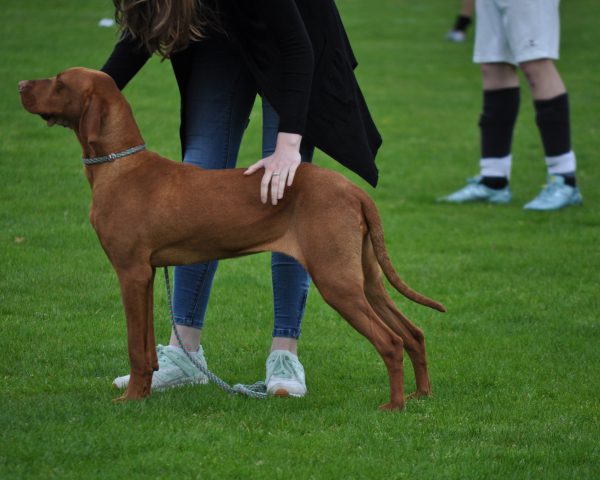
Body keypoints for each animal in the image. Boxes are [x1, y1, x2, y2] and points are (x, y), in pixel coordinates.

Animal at [18, 67, 446, 410]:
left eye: (59, 83)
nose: (20, 84)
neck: (121, 166)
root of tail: (354, 189)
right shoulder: (148, 274)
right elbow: (147, 345)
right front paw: (149, 388)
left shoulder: (131, 272)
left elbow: (135, 348)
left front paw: (132, 399)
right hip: (365, 278)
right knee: (414, 332)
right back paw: (421, 395)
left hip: (336, 280)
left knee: (390, 341)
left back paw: (394, 405)